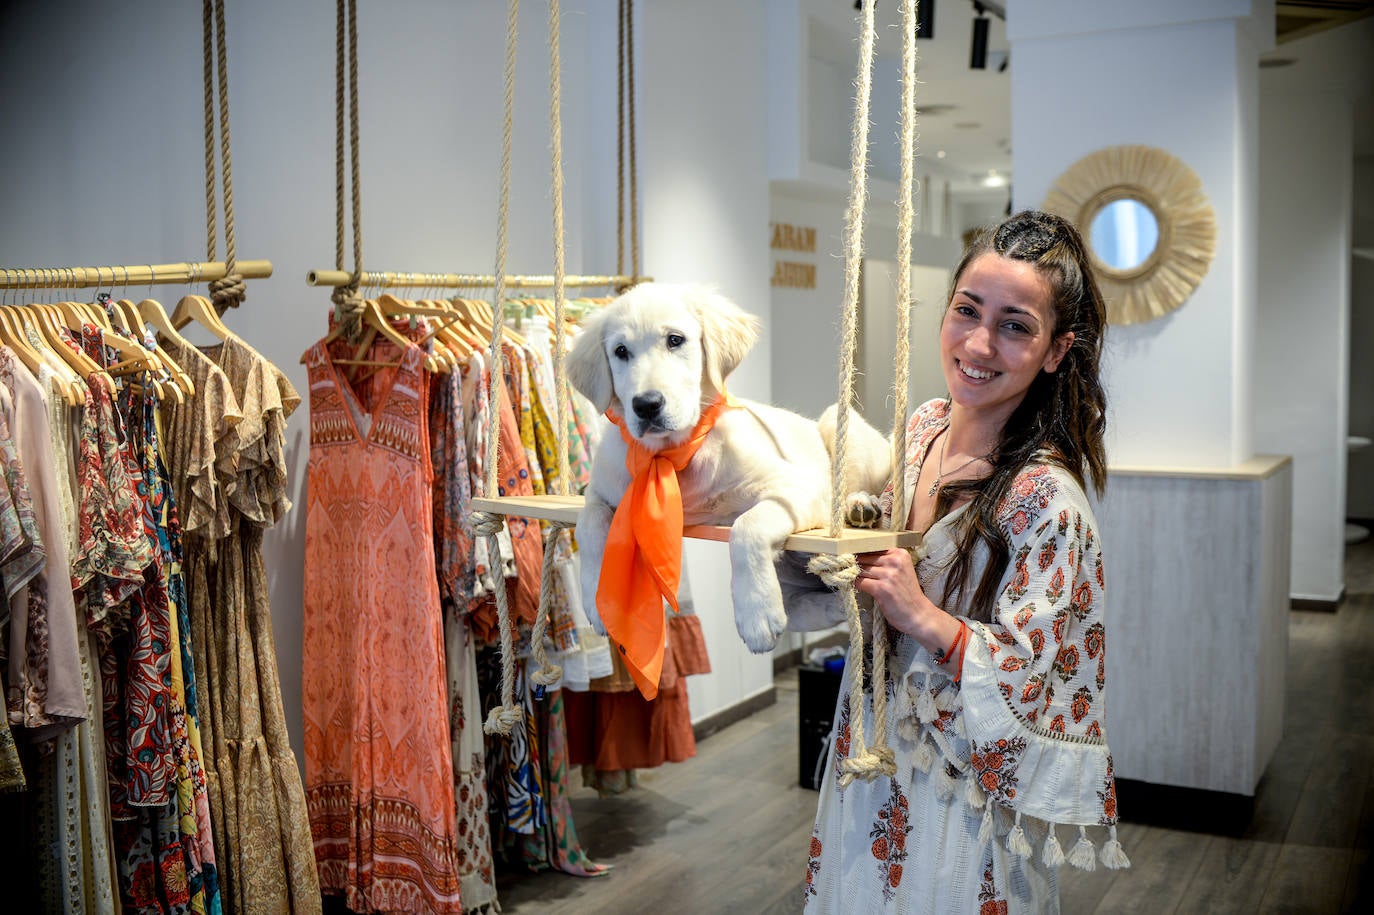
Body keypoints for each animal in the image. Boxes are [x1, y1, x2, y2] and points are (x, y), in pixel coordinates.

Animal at [568, 281, 890, 651]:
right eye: (620, 351)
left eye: (675, 340)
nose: (646, 405)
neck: (673, 453)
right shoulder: (597, 492)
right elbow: (589, 523)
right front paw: (598, 600)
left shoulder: (800, 487)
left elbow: (746, 526)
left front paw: (756, 616)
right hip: (799, 602)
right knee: (830, 604)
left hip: (838, 423)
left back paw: (859, 507)